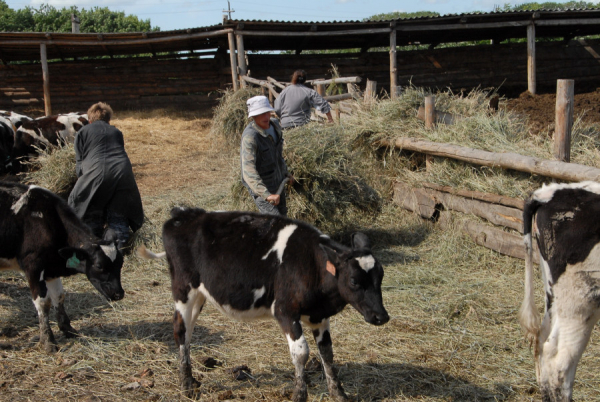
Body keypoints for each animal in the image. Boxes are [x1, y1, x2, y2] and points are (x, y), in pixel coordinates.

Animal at [0, 181, 124, 352]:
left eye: (121, 263)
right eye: (99, 266)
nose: (119, 294)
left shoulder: (51, 268)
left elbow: (59, 297)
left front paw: (68, 329)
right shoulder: (33, 266)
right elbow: (43, 303)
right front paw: (48, 341)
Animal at [140, 207, 390, 402]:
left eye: (381, 276)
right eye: (354, 280)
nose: (381, 316)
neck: (311, 263)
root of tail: (183, 214)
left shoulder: (320, 316)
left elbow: (327, 353)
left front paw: (339, 394)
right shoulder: (285, 311)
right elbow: (301, 352)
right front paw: (299, 394)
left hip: (200, 294)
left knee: (189, 332)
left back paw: (191, 380)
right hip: (183, 289)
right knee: (180, 331)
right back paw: (186, 386)